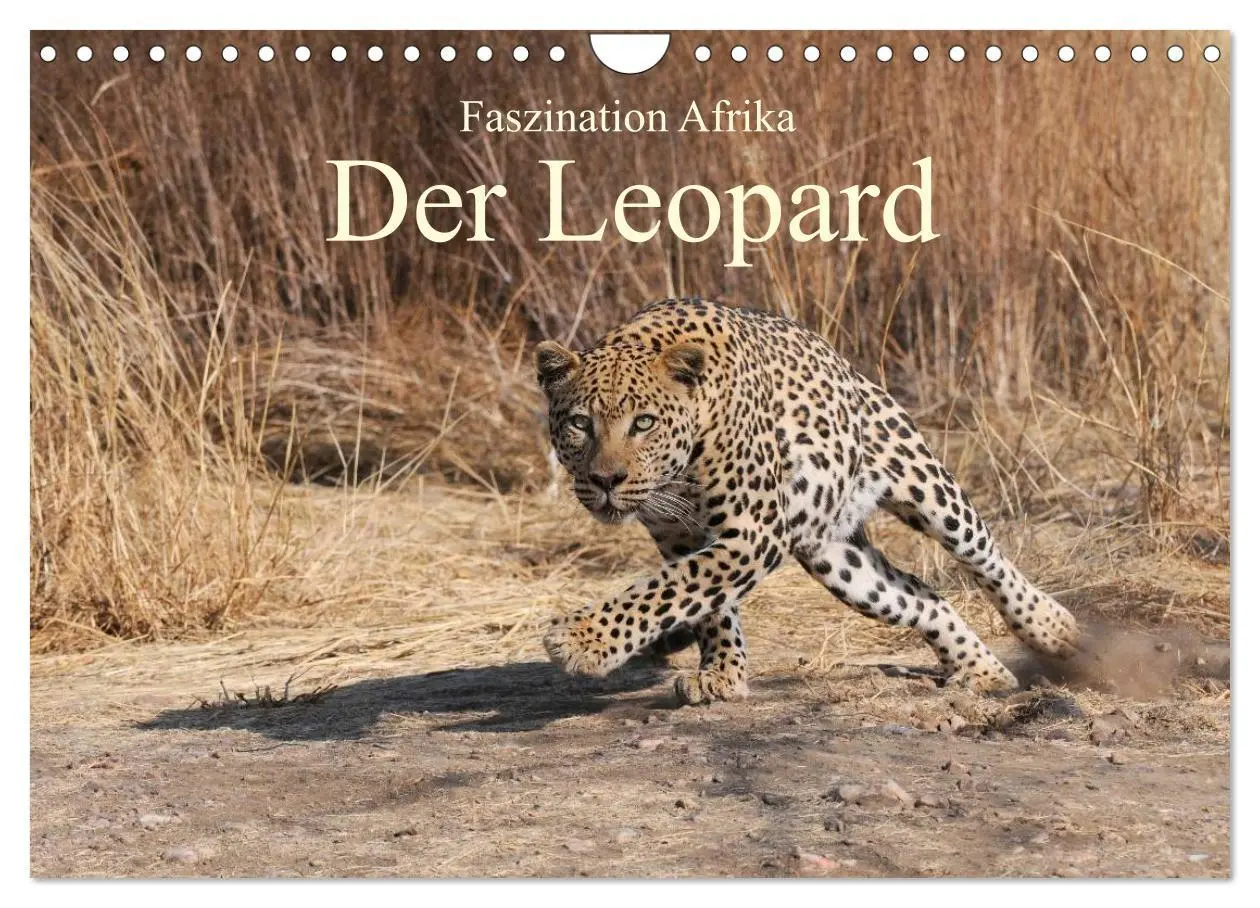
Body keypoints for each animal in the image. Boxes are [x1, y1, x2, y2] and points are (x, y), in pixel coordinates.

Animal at [536, 298, 1080, 704]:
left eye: (644, 423)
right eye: (580, 424)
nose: (606, 479)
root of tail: (845, 365)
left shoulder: (753, 530)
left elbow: (669, 589)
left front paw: (583, 640)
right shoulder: (682, 537)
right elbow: (705, 601)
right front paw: (722, 673)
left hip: (924, 483)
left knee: (986, 556)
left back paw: (1051, 627)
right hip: (839, 561)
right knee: (925, 597)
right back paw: (984, 672)